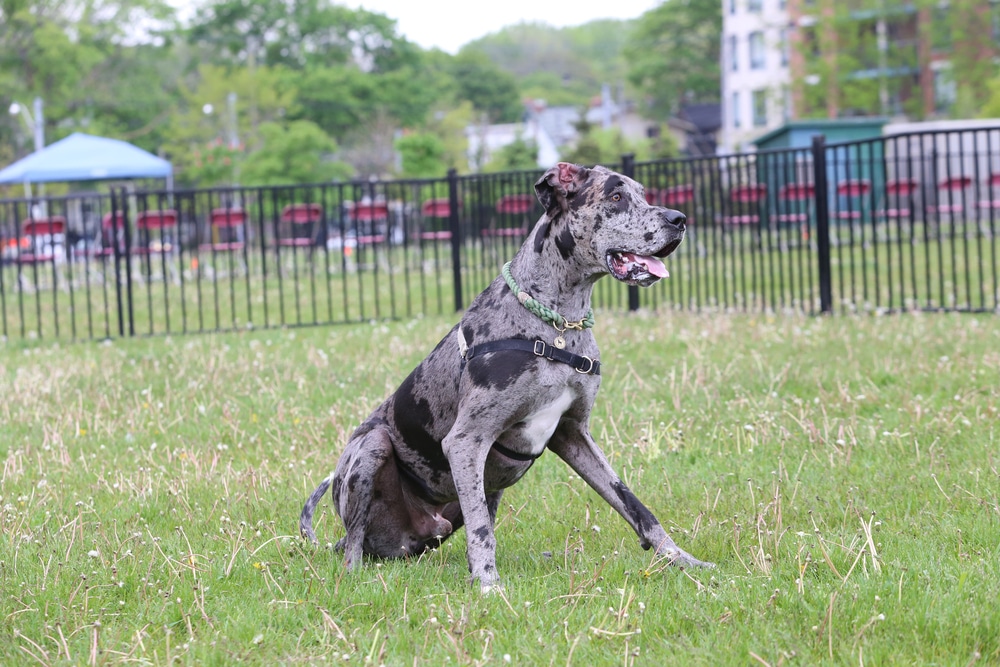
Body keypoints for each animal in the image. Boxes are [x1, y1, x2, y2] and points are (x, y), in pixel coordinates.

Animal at [300, 162, 716, 588]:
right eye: (616, 197)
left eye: (643, 194)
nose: (679, 219)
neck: (559, 324)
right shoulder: (465, 441)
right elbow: (481, 530)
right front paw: (487, 584)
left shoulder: (574, 434)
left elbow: (633, 503)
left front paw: (682, 559)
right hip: (372, 447)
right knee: (353, 545)